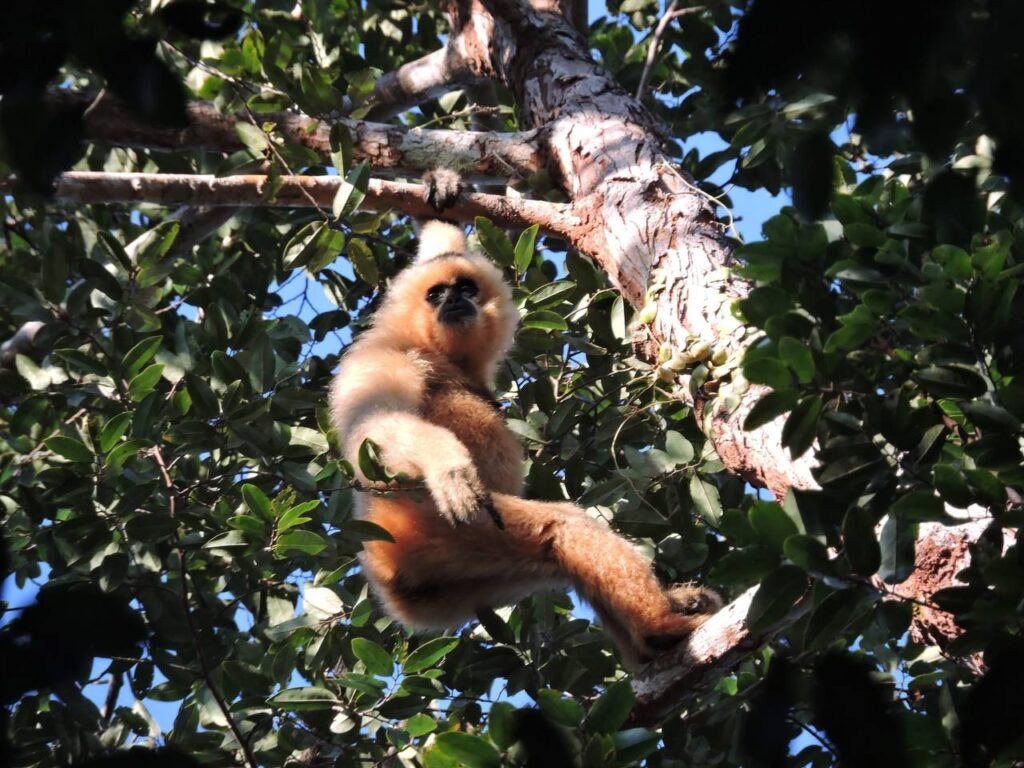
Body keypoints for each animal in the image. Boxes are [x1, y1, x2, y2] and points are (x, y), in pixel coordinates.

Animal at [329, 218, 720, 668]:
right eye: (436, 294)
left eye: (464, 288)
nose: (453, 300)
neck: (436, 353)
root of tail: (384, 574)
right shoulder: (382, 354)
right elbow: (373, 423)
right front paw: (448, 468)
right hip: (435, 526)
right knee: (565, 526)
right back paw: (660, 629)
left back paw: (648, 643)